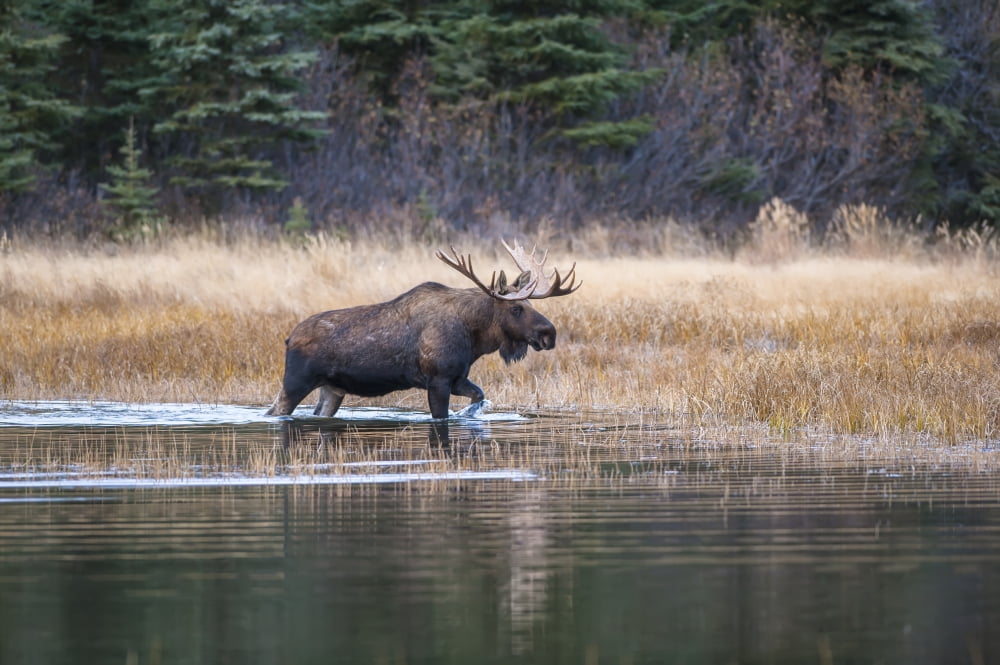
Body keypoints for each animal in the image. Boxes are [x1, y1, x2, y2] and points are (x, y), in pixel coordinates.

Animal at [265, 240, 580, 419]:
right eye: (516, 308)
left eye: (529, 302)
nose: (549, 334)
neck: (474, 337)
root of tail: (288, 338)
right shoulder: (438, 379)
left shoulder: (458, 377)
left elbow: (479, 395)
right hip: (296, 381)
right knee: (275, 410)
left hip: (332, 389)